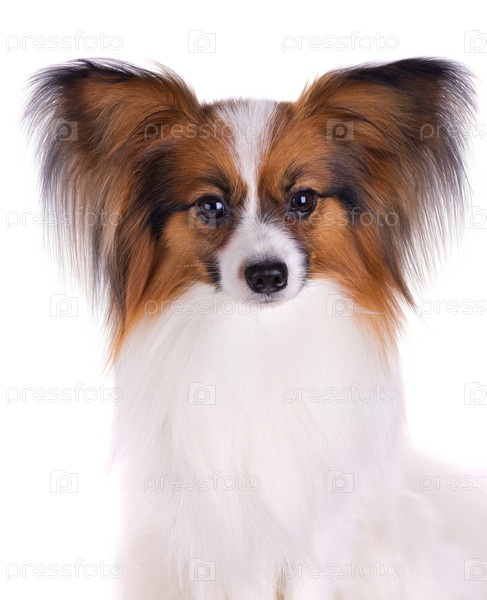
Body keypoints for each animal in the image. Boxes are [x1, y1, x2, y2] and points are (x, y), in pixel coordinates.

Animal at [25, 57, 487, 599]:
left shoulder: (318, 531)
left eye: (303, 200)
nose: (268, 274)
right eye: (211, 206)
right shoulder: (219, 535)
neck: (257, 337)